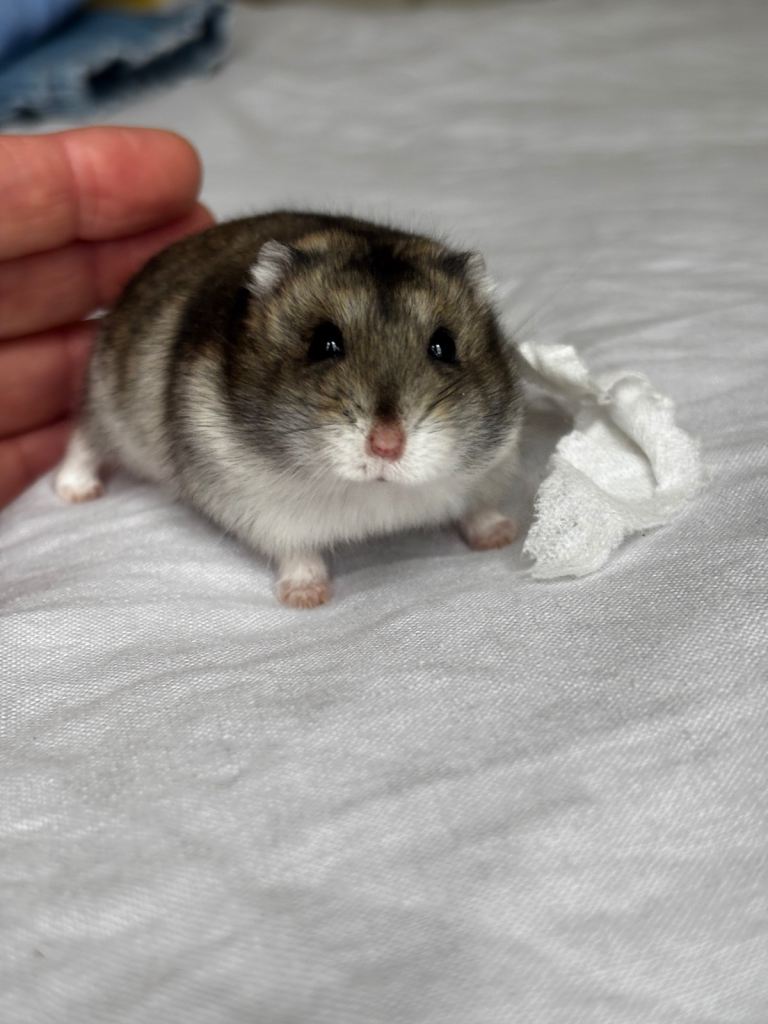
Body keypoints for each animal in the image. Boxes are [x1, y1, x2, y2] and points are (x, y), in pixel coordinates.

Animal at [55, 212, 524, 607]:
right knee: (84, 440)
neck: (375, 492)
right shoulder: (261, 508)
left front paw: (502, 537)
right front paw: (307, 599)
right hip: (106, 402)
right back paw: (76, 491)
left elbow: (480, 510)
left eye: (444, 345)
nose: (387, 446)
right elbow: (297, 552)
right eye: (324, 342)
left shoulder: (493, 467)